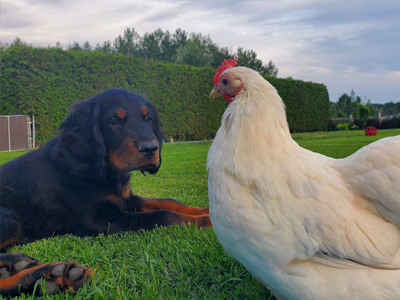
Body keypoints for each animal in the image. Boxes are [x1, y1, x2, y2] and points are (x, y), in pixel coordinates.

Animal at [0, 88, 211, 296]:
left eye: (148, 118)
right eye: (114, 121)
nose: (152, 149)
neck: (103, 170)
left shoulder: (127, 199)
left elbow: (168, 202)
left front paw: (207, 210)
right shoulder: (97, 220)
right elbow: (163, 215)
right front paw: (207, 221)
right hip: (10, 220)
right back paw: (49, 275)